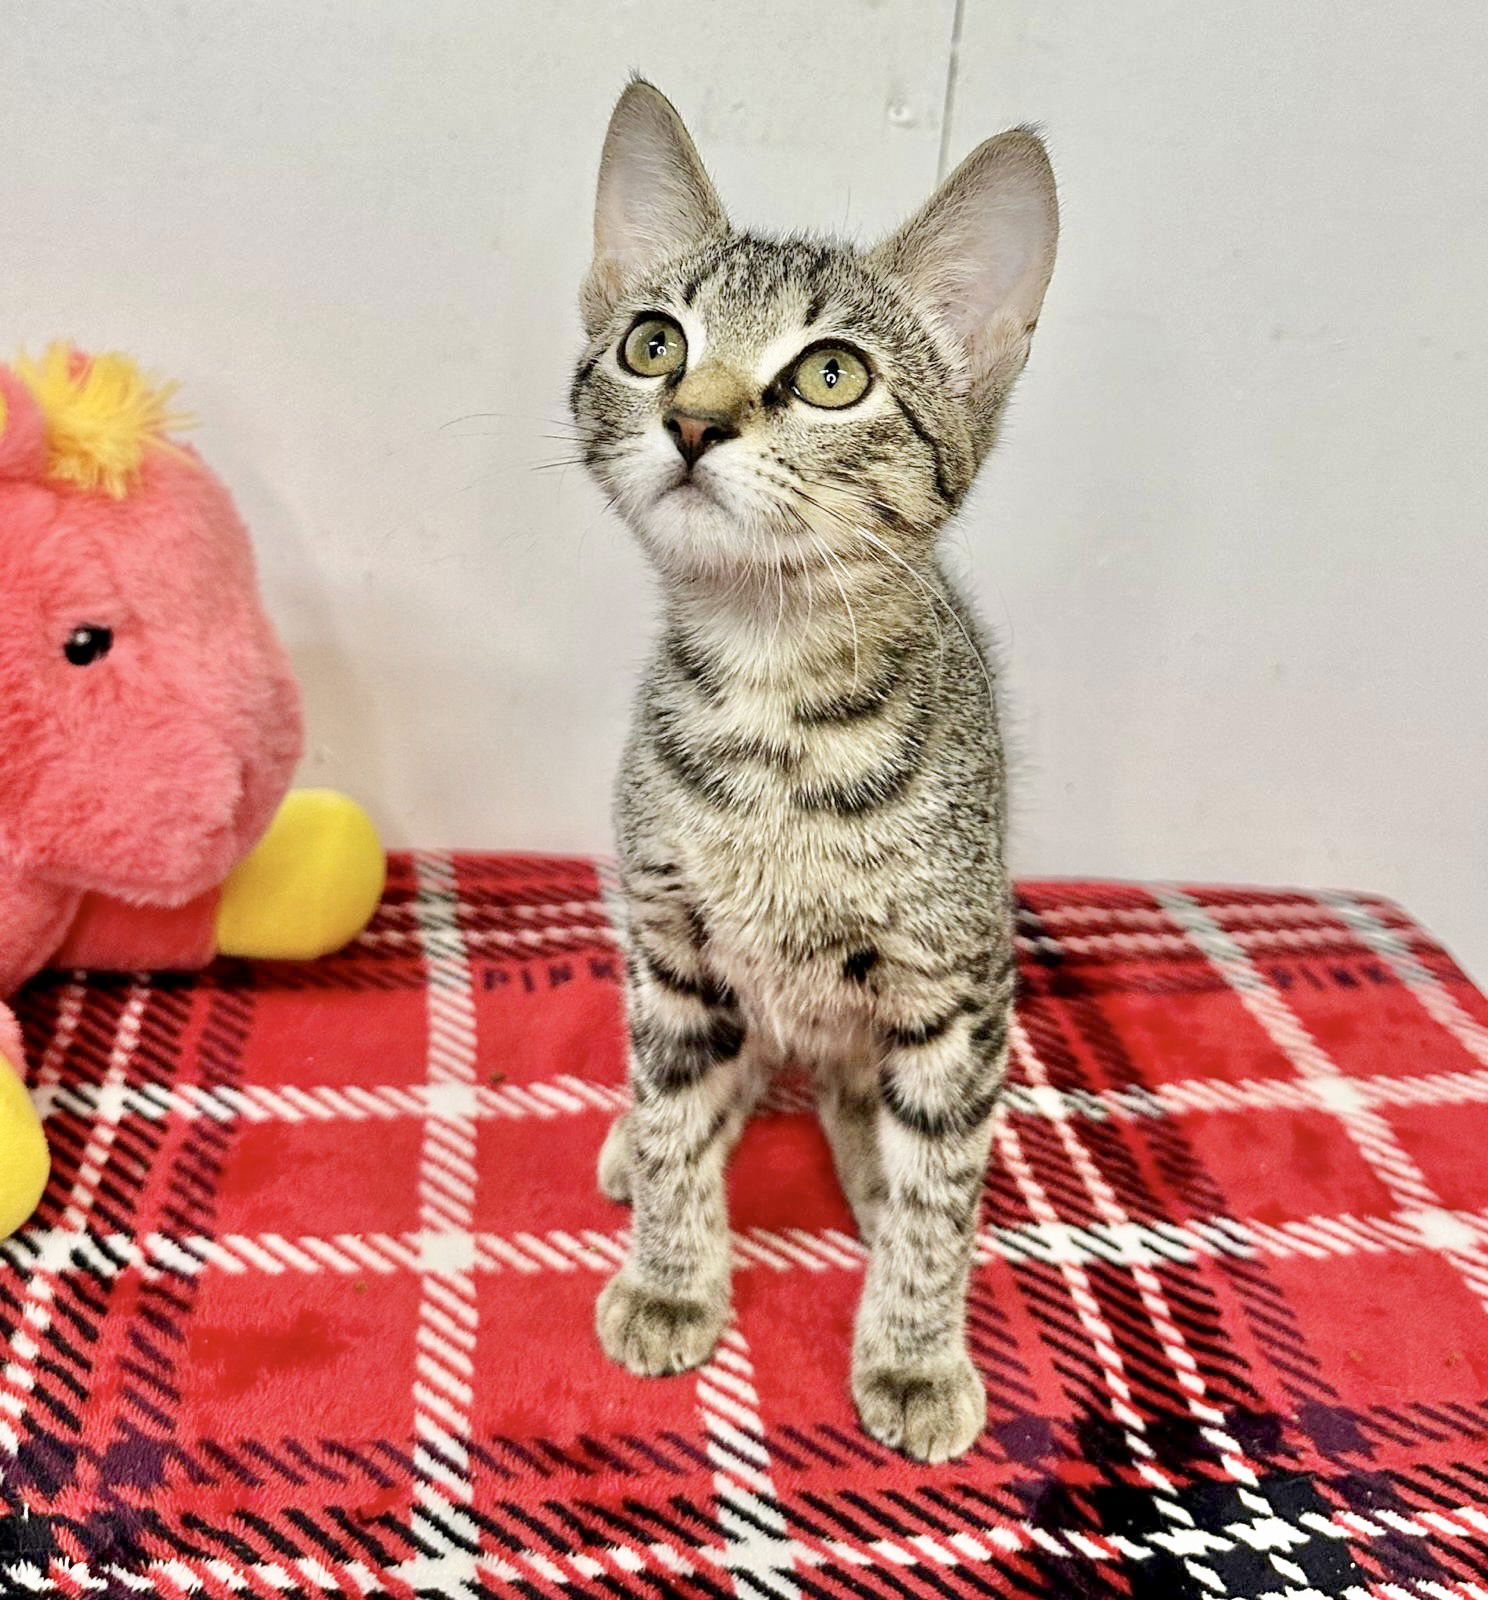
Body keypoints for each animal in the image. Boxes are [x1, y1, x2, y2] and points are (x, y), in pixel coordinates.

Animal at [569, 78, 1056, 1465]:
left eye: (832, 374)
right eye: (653, 346)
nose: (691, 419)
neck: (773, 708)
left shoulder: (959, 979)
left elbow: (945, 1191)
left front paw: (912, 1352)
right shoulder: (672, 941)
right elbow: (681, 1125)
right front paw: (672, 1276)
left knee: (863, 1097)